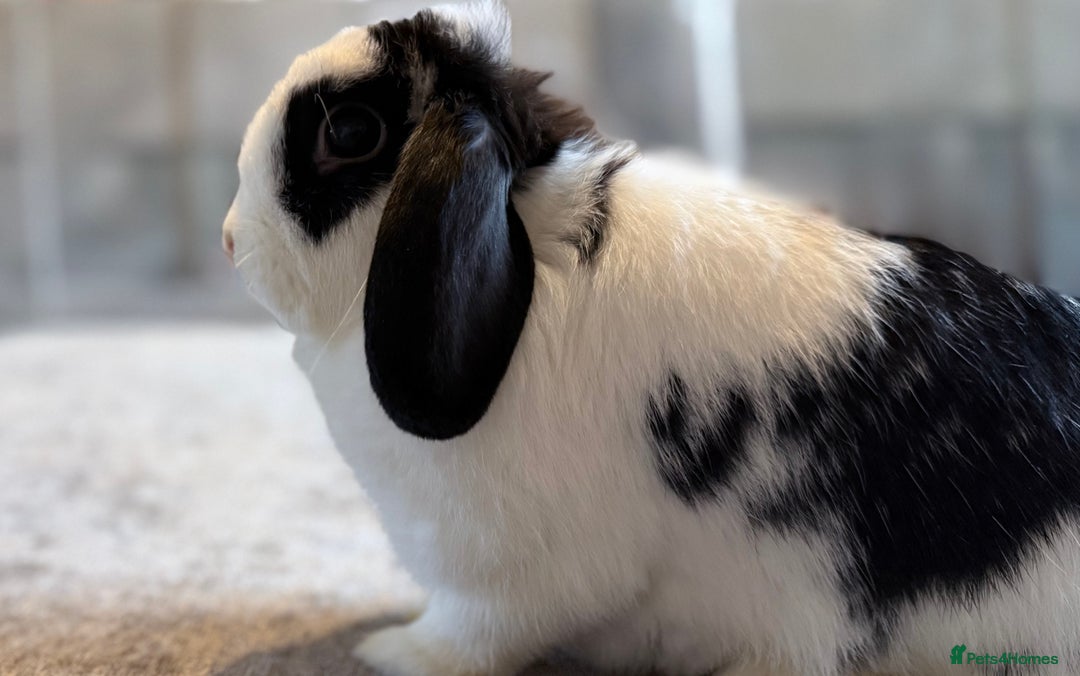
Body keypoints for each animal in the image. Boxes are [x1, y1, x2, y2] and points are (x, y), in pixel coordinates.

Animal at [222, 2, 1080, 675]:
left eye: (349, 131)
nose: (231, 241)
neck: (530, 259)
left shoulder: (515, 570)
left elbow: (472, 636)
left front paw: (388, 653)